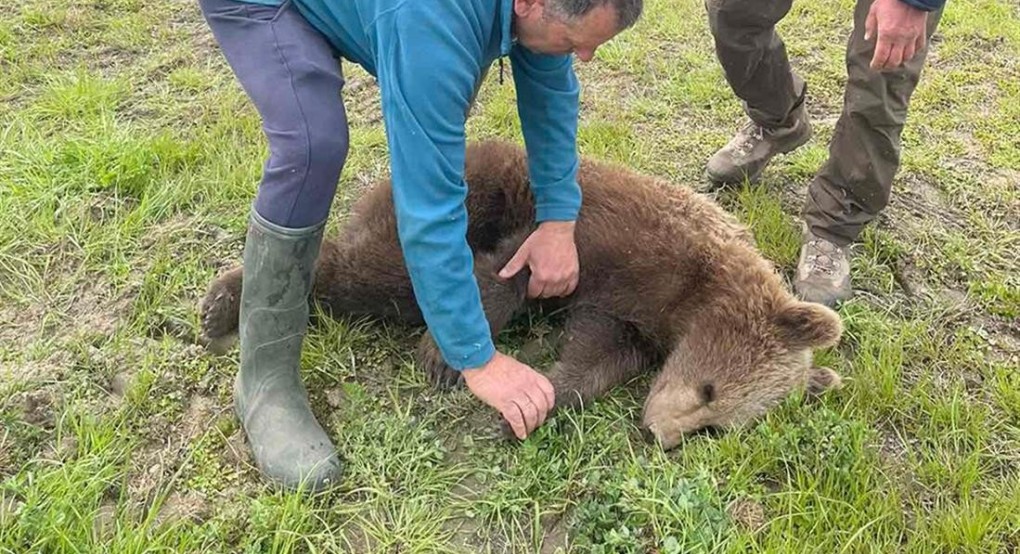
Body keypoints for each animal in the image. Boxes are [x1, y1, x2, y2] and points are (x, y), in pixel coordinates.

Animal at [200, 138, 844, 450]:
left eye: (716, 427)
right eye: (710, 391)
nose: (657, 433)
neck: (689, 294)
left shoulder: (625, 318)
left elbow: (592, 360)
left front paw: (529, 411)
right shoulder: (609, 239)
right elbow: (509, 273)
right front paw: (447, 358)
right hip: (471, 192)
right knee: (377, 272)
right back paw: (223, 301)